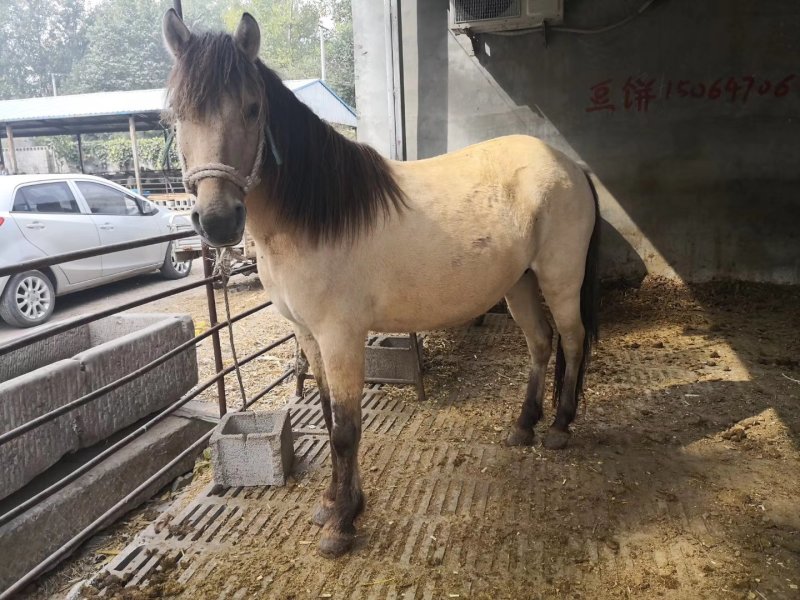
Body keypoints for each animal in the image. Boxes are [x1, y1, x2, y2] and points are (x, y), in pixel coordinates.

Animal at [163, 10, 600, 558]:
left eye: (252, 108)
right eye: (175, 114)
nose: (218, 221)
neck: (313, 218)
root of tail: (570, 165)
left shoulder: (341, 336)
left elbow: (346, 430)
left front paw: (342, 524)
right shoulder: (308, 336)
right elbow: (328, 416)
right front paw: (333, 503)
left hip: (560, 277)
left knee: (573, 340)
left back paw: (560, 426)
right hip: (519, 283)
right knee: (541, 343)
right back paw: (523, 427)